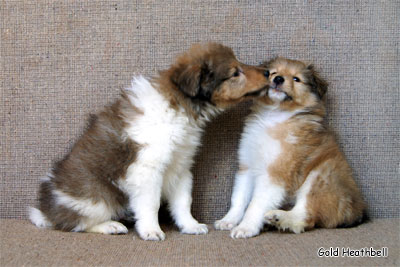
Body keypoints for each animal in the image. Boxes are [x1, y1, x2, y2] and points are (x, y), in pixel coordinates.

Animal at [29, 43, 270, 242]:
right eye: (235, 72)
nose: (268, 72)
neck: (180, 108)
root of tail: (47, 210)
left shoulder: (180, 167)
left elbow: (183, 201)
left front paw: (190, 226)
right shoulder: (146, 170)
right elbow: (150, 204)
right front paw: (151, 231)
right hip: (96, 199)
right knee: (74, 223)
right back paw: (110, 226)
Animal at [216, 58, 366, 239]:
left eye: (296, 79)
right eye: (273, 72)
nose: (278, 79)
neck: (274, 117)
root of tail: (358, 212)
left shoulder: (276, 173)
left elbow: (255, 203)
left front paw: (245, 227)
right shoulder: (247, 166)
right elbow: (239, 197)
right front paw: (228, 220)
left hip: (321, 175)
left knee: (306, 217)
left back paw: (279, 217)